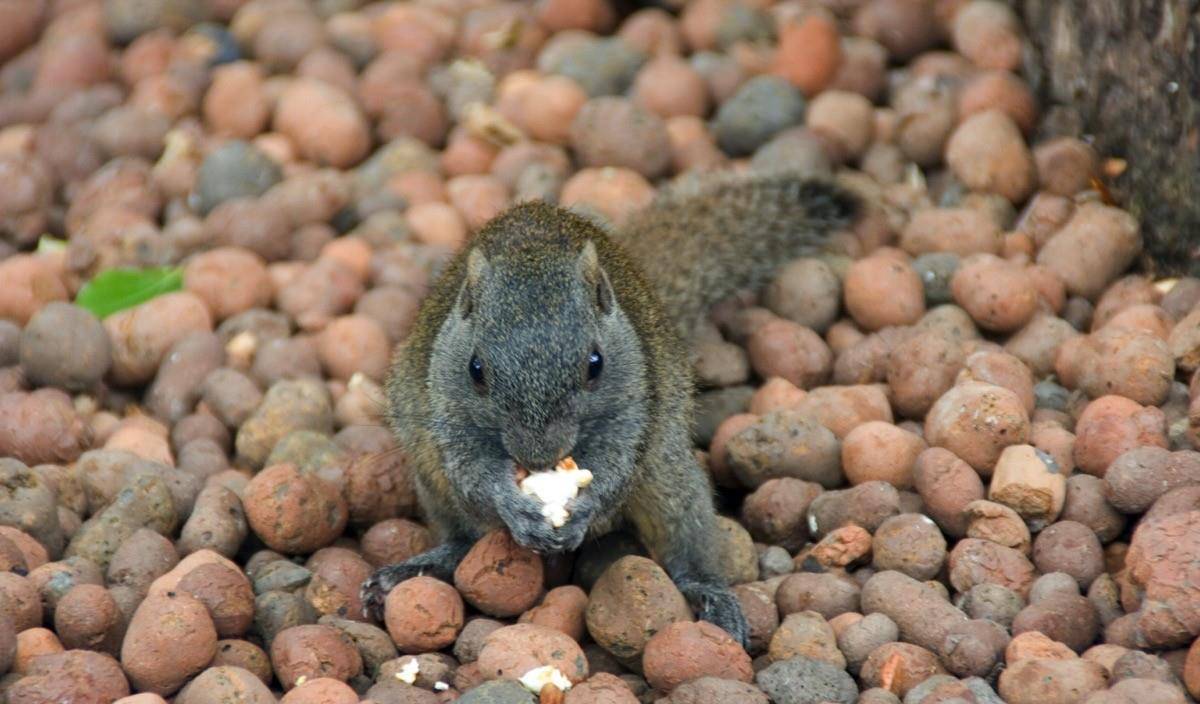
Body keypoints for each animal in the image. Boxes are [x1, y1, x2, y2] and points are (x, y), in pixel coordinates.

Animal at [360, 173, 859, 647]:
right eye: (475, 369)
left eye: (595, 364)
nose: (539, 455)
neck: (532, 252)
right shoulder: (445, 410)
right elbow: (470, 470)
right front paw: (514, 507)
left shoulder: (634, 404)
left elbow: (617, 464)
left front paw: (583, 508)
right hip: (430, 476)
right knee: (461, 537)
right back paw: (413, 571)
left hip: (669, 479)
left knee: (683, 535)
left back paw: (708, 592)